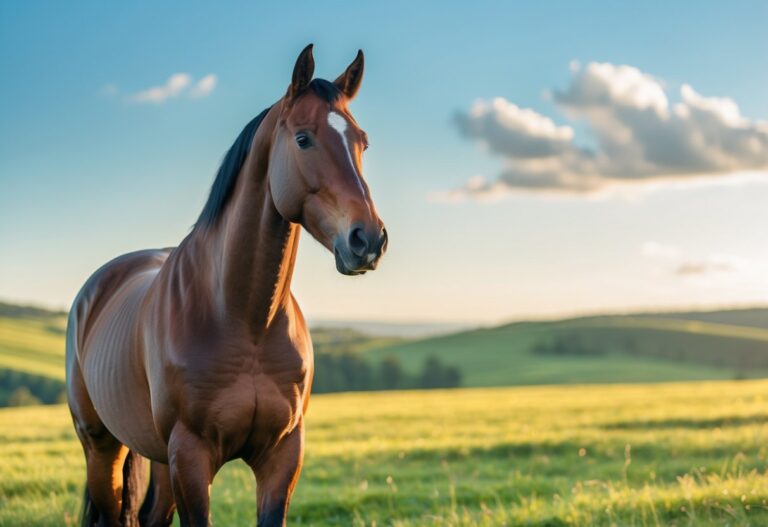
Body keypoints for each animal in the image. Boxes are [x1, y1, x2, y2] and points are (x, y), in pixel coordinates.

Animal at [66, 44, 387, 527]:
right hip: (101, 448)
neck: (244, 318)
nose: (367, 240)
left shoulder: (281, 457)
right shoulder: (191, 456)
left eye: (362, 142)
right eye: (303, 139)